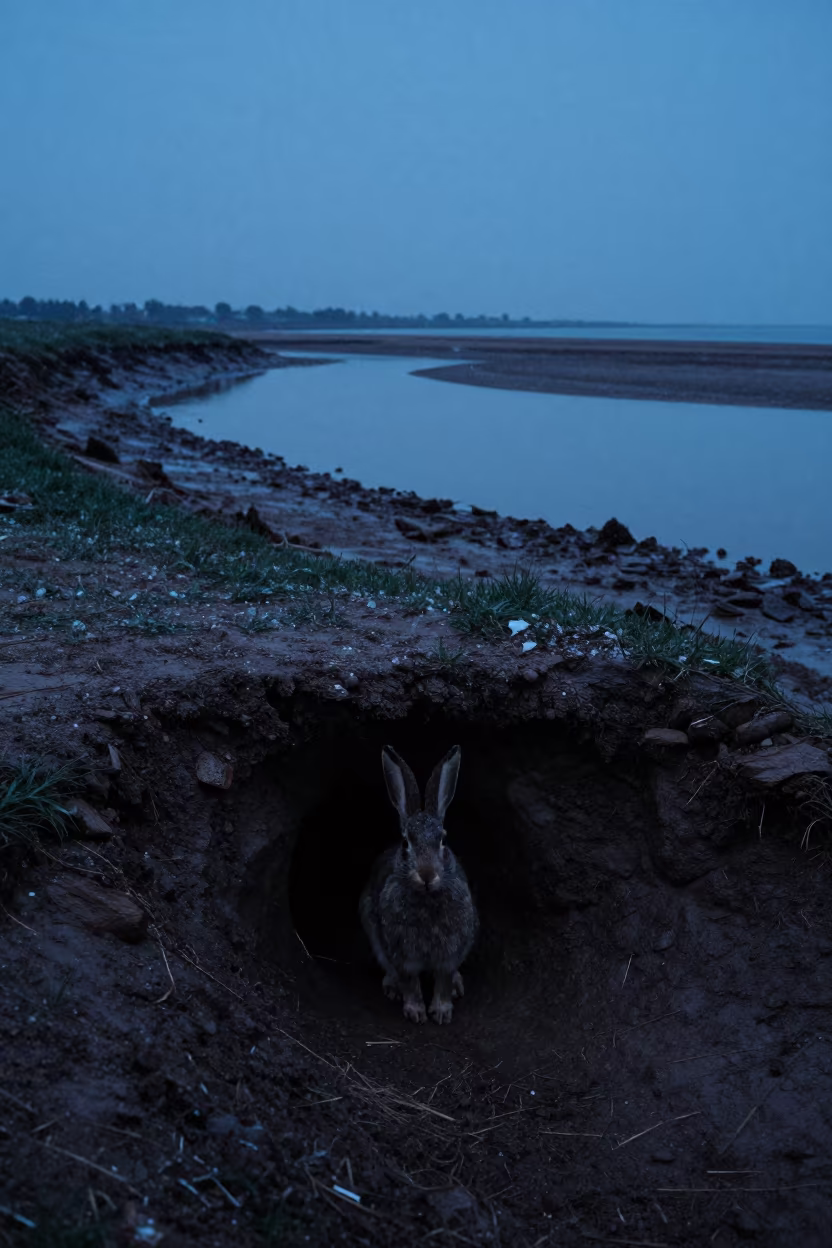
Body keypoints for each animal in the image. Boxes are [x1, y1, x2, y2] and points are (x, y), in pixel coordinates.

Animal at [359, 744, 477, 1024]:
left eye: (443, 841)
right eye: (406, 844)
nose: (426, 875)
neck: (427, 898)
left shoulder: (450, 953)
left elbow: (444, 980)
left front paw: (442, 1012)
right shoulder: (401, 954)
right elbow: (410, 982)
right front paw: (415, 1012)